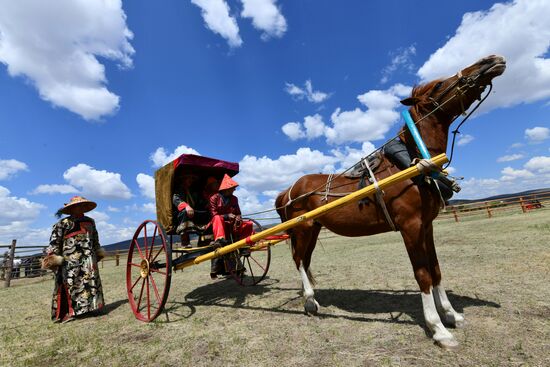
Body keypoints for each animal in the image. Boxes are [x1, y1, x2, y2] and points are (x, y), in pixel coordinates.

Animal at [276, 55, 508, 350]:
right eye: (439, 85)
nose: (491, 60)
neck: (411, 163)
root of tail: (289, 189)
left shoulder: (426, 226)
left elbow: (436, 270)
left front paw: (451, 314)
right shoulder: (410, 226)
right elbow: (423, 274)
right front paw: (438, 328)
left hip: (313, 229)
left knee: (304, 261)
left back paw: (313, 298)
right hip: (303, 229)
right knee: (298, 260)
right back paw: (309, 301)